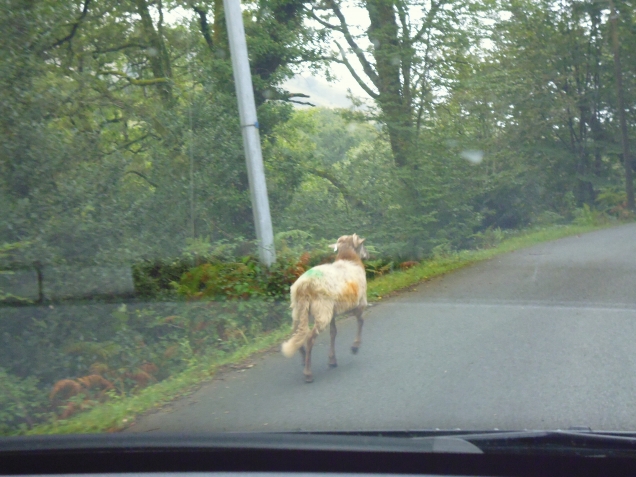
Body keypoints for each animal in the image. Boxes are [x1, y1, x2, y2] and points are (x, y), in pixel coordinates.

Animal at [282, 232, 370, 382]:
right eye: (362, 244)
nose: (368, 255)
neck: (349, 259)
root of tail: (303, 287)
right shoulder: (360, 302)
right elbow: (361, 321)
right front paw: (355, 347)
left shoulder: (333, 313)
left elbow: (333, 332)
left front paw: (332, 360)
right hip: (322, 311)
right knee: (310, 337)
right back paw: (308, 373)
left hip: (299, 311)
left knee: (296, 333)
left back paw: (303, 358)